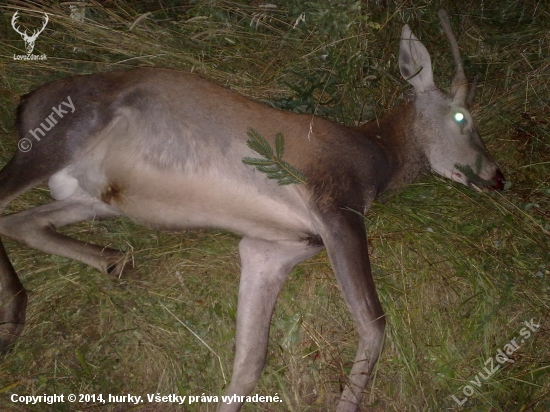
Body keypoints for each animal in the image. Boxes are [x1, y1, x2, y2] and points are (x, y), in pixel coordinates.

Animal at [0, 8, 504, 412]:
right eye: (463, 117)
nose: (499, 176)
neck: (374, 159)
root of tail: (25, 103)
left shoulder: (276, 245)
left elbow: (251, 362)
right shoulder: (335, 205)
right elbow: (374, 322)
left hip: (97, 199)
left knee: (18, 221)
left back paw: (109, 263)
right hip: (58, 137)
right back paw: (16, 314)